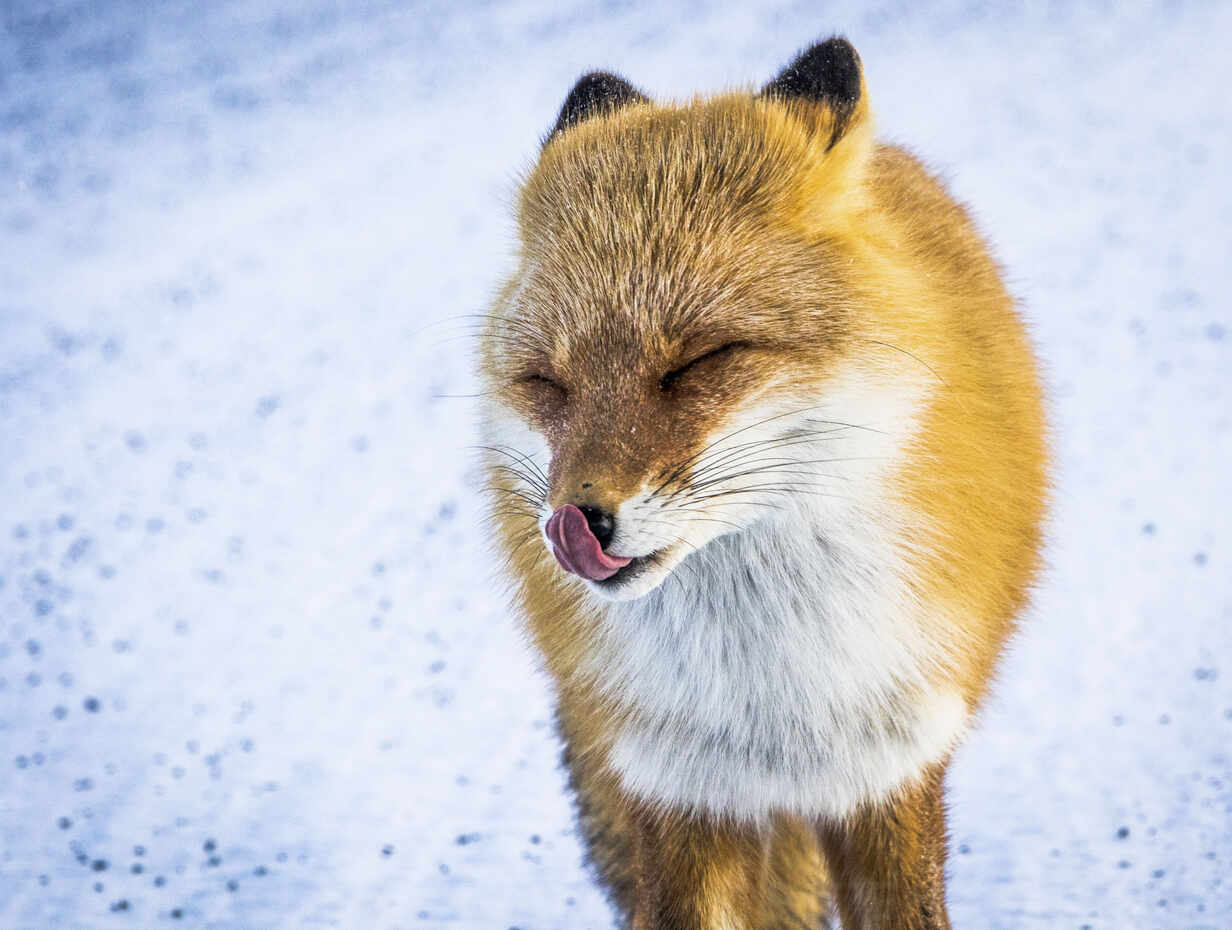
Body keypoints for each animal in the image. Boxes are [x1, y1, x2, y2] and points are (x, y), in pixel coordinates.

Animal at [475, 36, 1044, 930]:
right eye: (546, 383)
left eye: (698, 361)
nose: (574, 527)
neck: (774, 706)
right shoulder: (675, 785)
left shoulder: (892, 765)